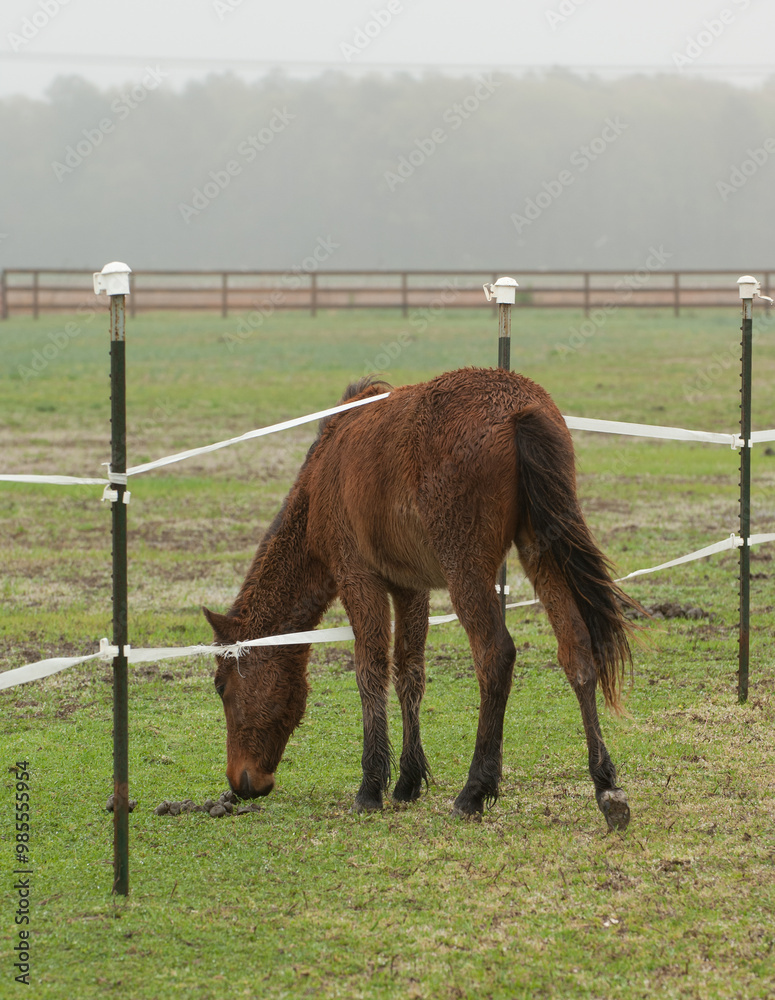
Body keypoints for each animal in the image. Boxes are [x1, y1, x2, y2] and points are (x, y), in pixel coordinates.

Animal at [204, 367, 640, 830]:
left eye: (221, 685)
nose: (242, 782)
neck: (323, 472)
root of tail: (521, 408)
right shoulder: (409, 587)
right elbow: (409, 673)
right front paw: (407, 781)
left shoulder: (359, 577)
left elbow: (370, 671)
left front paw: (371, 786)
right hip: (540, 550)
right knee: (577, 649)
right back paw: (606, 785)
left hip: (466, 569)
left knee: (495, 655)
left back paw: (474, 790)